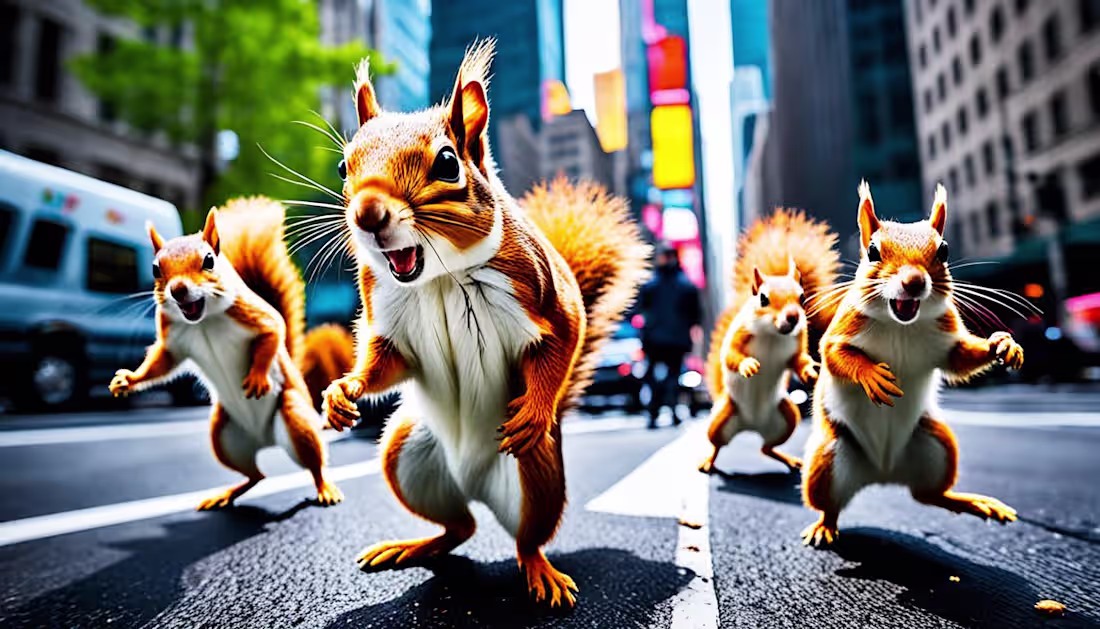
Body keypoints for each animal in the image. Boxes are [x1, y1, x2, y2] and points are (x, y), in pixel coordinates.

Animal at [109, 197, 351, 510]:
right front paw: (127, 380)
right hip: (223, 437)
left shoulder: (253, 315)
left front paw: (257, 378)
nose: (178, 290)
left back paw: (325, 489)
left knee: (313, 464)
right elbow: (161, 364)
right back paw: (225, 494)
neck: (203, 321)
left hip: (295, 417)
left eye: (209, 260)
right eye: (155, 269)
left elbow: (273, 333)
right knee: (255, 475)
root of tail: (265, 440)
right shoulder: (173, 341)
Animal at [319, 40, 649, 608]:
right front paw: (343, 392)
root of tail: (472, 482)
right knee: (460, 527)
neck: (440, 278)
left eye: (448, 162)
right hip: (405, 454)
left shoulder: (546, 291)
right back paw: (412, 546)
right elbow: (384, 364)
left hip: (537, 475)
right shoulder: (387, 320)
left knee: (525, 538)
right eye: (344, 166)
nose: (367, 214)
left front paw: (535, 407)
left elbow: (565, 336)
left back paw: (540, 570)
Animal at [700, 209, 840, 475]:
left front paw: (810, 371)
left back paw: (791, 461)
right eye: (763, 298)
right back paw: (708, 461)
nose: (793, 317)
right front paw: (748, 365)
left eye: (802, 297)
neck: (773, 334)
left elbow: (798, 360)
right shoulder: (740, 333)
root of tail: (751, 426)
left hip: (786, 418)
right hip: (722, 417)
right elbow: (731, 355)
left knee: (766, 448)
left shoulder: (798, 342)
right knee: (716, 444)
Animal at [800, 182, 1024, 547]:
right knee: (829, 505)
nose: (914, 282)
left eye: (944, 250)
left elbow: (960, 359)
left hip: (938, 446)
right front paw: (872, 375)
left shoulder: (946, 341)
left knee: (929, 495)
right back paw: (823, 527)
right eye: (872, 251)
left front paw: (1003, 344)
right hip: (827, 458)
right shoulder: (842, 330)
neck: (901, 325)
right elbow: (835, 355)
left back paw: (975, 503)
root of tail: (883, 472)